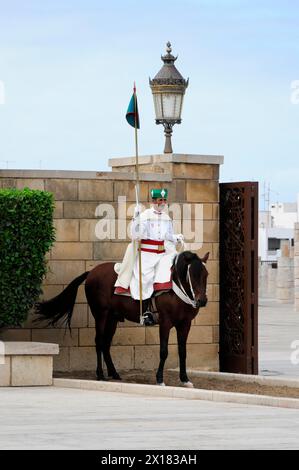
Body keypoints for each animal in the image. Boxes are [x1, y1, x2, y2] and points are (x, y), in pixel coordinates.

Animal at [35, 250, 210, 386]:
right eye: (192, 275)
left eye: (206, 275)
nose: (202, 301)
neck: (175, 289)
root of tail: (92, 272)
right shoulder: (165, 323)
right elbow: (164, 351)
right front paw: (160, 379)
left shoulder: (185, 324)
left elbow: (182, 351)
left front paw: (185, 379)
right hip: (101, 314)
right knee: (99, 341)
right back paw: (100, 374)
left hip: (112, 318)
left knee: (106, 344)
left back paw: (114, 373)